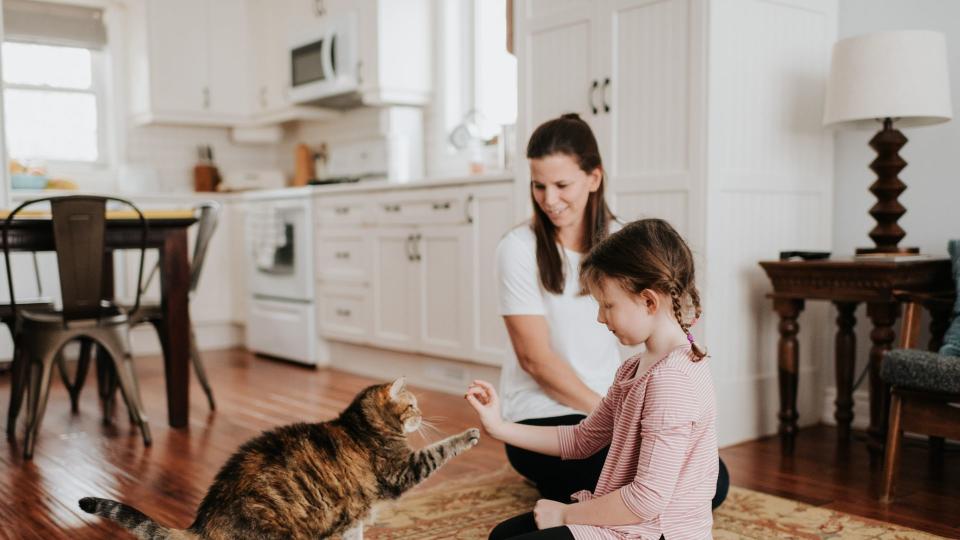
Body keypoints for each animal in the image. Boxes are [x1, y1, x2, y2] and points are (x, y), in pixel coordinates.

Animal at [79, 378, 480, 536]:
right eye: (413, 405)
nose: (422, 416)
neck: (360, 424)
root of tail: (204, 523)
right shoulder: (402, 469)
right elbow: (440, 449)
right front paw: (470, 434)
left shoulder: (351, 520)